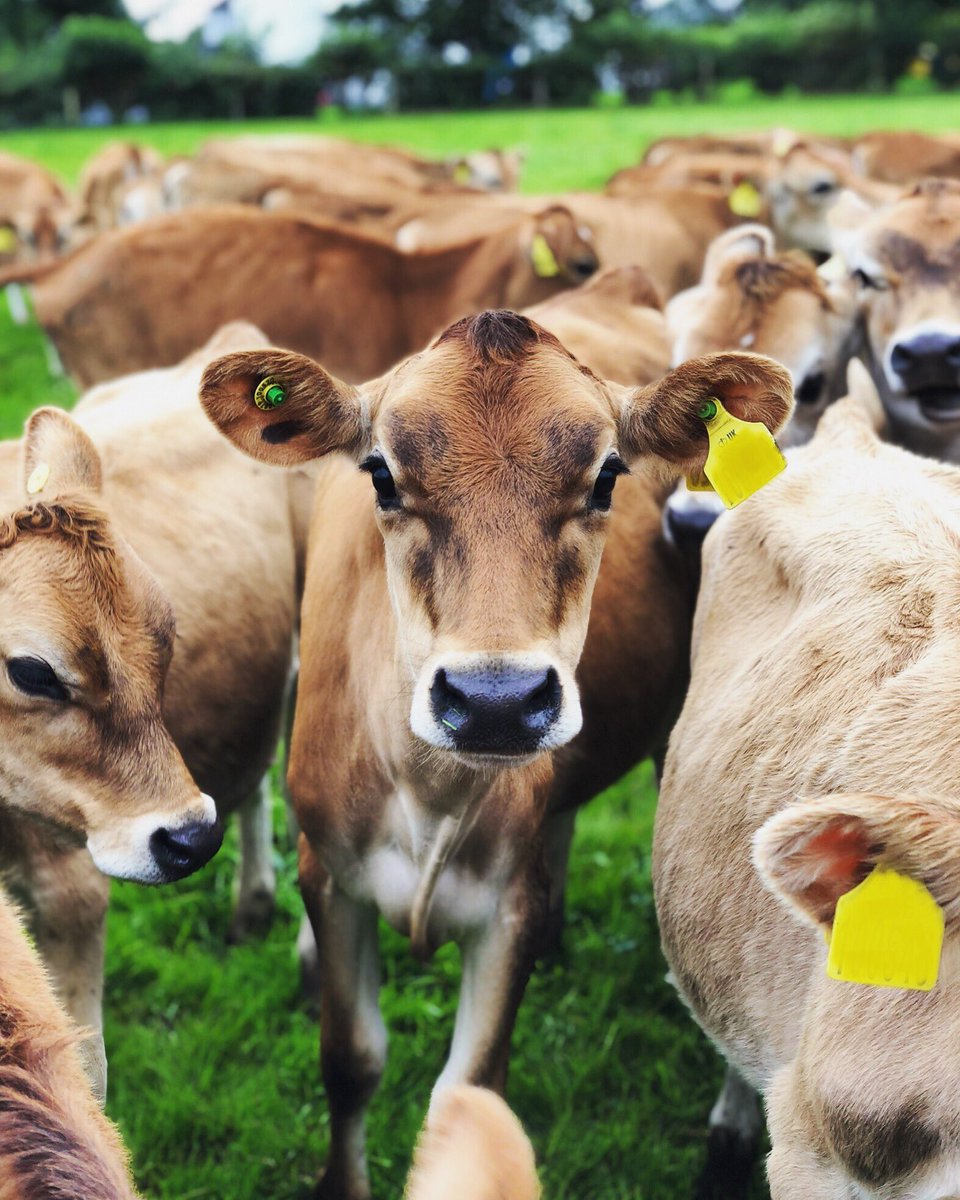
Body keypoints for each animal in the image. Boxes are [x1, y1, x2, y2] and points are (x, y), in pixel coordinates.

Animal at [199, 308, 792, 1199]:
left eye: (607, 476)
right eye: (381, 474)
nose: (496, 701)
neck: (429, 793)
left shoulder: (506, 907)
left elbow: (469, 1094)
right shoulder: (330, 874)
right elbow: (349, 1060)